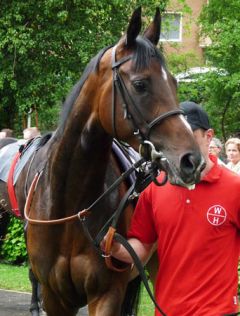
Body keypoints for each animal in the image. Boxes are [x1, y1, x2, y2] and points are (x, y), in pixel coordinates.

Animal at [0, 7, 204, 316]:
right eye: (140, 84)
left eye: (174, 82)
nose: (191, 160)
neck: (71, 206)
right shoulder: (55, 297)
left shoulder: (106, 294)